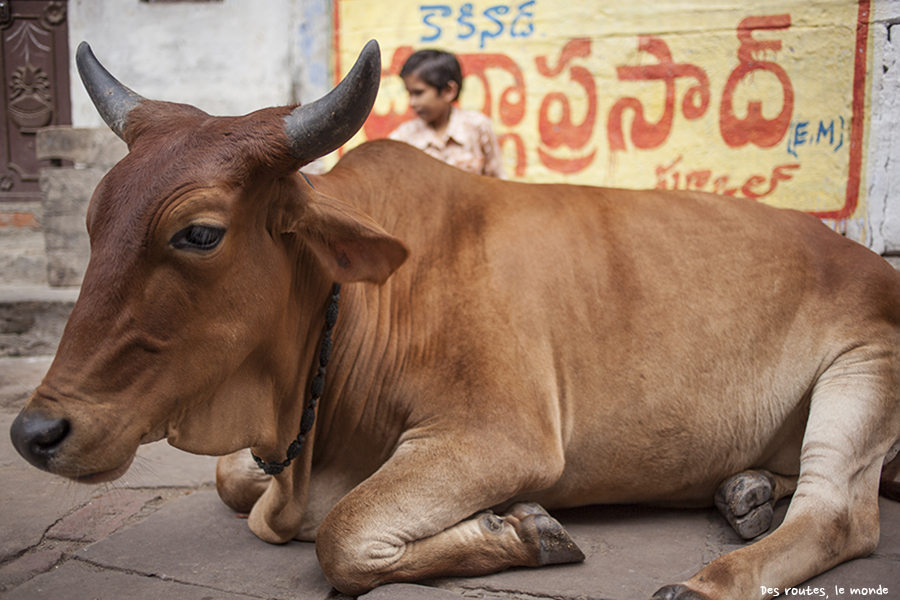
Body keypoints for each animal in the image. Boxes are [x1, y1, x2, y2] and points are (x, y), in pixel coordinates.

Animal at [7, 39, 900, 596]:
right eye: (92, 220)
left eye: (198, 232)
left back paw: (704, 579)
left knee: (839, 515)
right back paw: (744, 491)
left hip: (865, 368)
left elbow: (339, 534)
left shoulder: (497, 436)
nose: (35, 434)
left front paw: (526, 530)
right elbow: (236, 483)